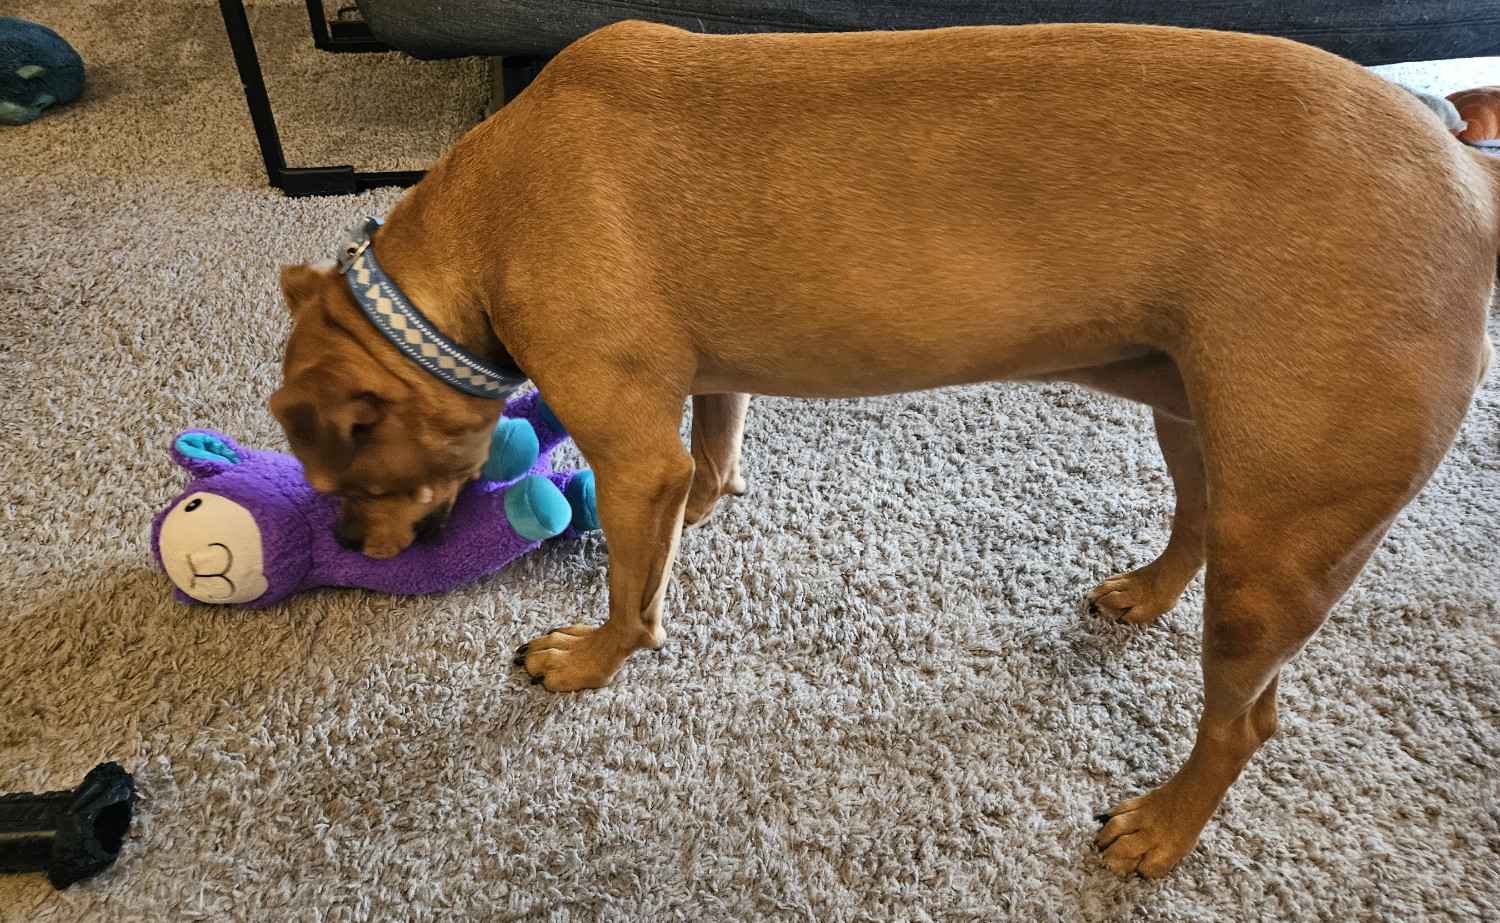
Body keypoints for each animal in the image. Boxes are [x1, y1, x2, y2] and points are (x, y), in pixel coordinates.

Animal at [273, 19, 1500, 876]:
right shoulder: (701, 393)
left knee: (1247, 719)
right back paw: (1147, 592)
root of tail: (1466, 168)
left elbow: (633, 592)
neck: (482, 226)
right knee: (1195, 521)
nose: (350, 544)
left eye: (350, 477)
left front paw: (592, 655)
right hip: (1196, 422)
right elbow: (706, 459)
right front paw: (701, 516)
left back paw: (1162, 826)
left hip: (1281, 544)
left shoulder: (629, 448)